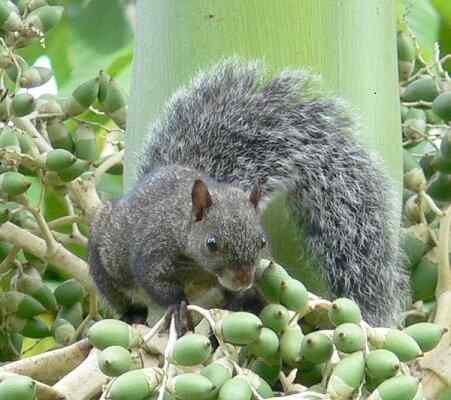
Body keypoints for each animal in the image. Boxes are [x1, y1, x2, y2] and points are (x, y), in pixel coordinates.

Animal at [87, 60, 410, 328]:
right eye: (211, 243)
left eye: (262, 241)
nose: (243, 279)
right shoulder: (154, 251)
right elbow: (156, 283)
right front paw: (178, 304)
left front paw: (242, 301)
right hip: (104, 266)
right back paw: (132, 315)